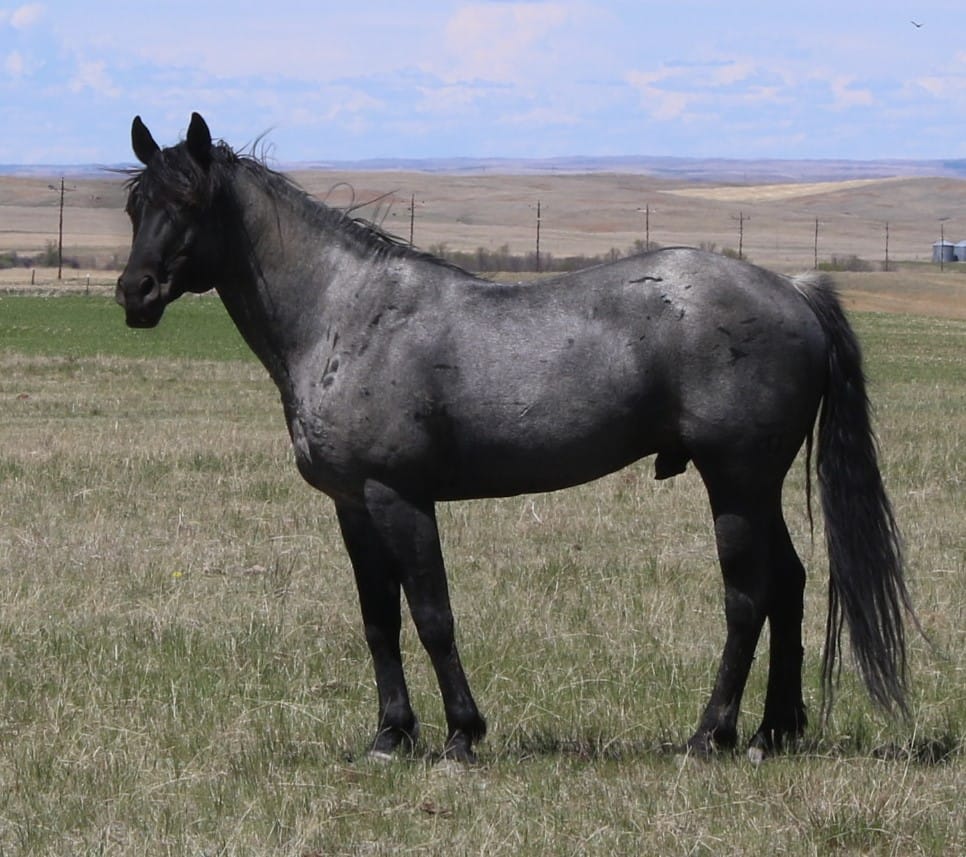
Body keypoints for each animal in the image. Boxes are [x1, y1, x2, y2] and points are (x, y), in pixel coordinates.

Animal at [116, 112, 913, 763]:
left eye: (189, 202)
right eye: (134, 205)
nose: (135, 293)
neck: (346, 314)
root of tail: (794, 291)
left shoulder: (399, 498)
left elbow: (432, 615)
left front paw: (461, 735)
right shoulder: (352, 506)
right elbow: (379, 621)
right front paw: (390, 736)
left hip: (736, 484)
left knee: (748, 597)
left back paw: (708, 735)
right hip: (756, 486)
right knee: (789, 584)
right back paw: (773, 731)